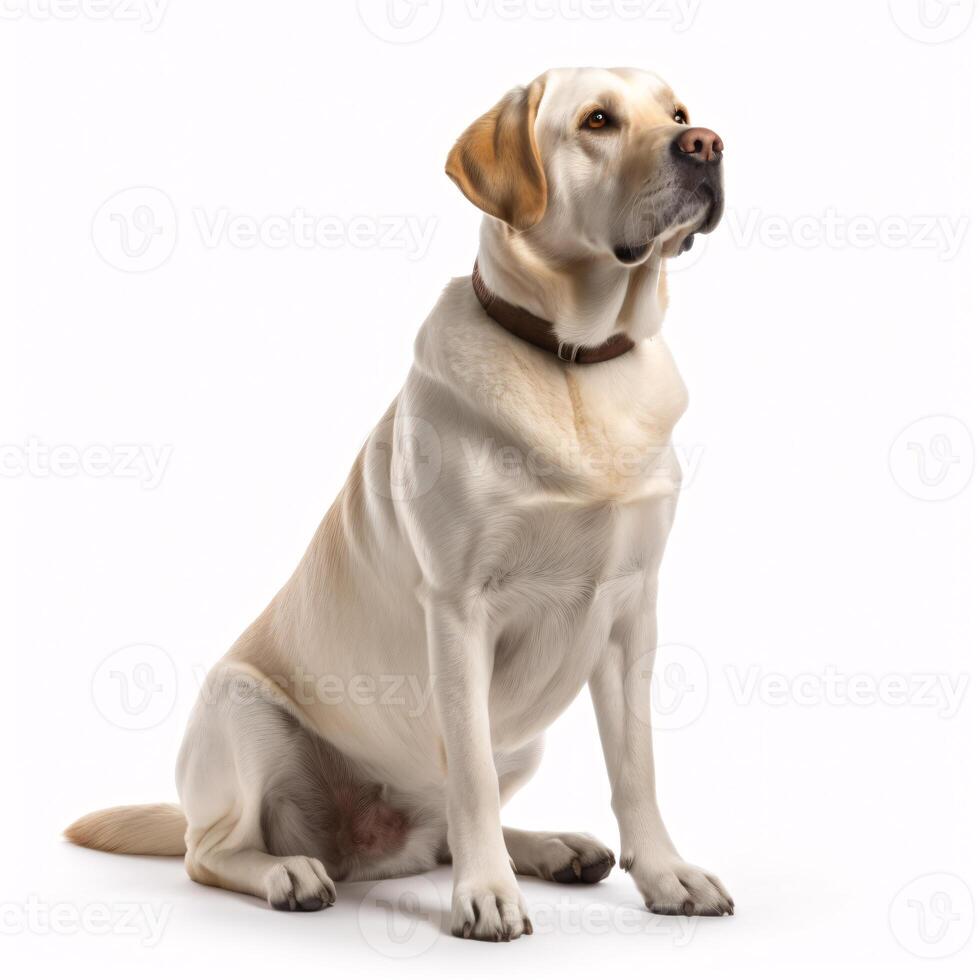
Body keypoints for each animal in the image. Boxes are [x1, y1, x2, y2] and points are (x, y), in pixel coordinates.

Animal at [67, 67, 728, 940]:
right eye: (597, 121)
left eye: (678, 113)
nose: (707, 145)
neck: (574, 364)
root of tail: (363, 848)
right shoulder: (457, 610)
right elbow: (470, 774)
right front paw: (487, 897)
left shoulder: (630, 617)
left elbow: (637, 769)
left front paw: (664, 875)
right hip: (240, 708)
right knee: (209, 851)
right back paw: (288, 871)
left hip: (524, 740)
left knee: (443, 827)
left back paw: (550, 846)